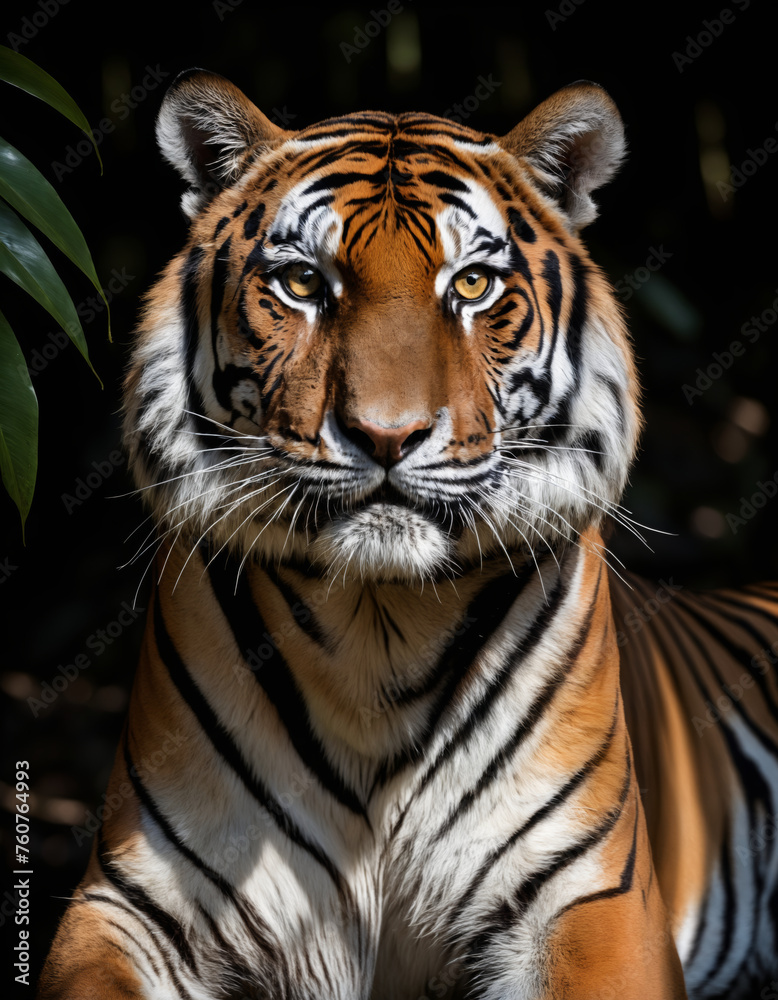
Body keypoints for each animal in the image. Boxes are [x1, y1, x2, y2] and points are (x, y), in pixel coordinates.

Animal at [37, 70, 778, 999]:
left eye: (472, 286)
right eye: (302, 283)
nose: (386, 436)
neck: (376, 629)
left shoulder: (594, 896)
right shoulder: (134, 899)